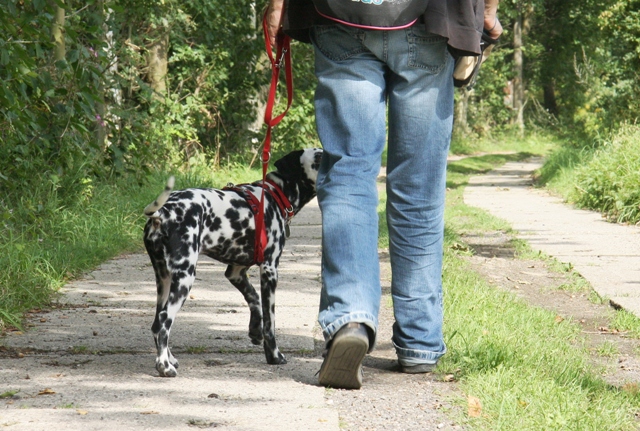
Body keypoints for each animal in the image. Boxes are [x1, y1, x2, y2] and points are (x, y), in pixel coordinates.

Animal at [146, 149, 324, 378]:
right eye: (318, 158)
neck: (275, 194)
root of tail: (164, 211)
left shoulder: (236, 272)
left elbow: (254, 299)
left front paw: (255, 330)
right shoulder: (270, 270)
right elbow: (270, 323)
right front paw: (274, 355)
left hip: (164, 280)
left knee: (157, 323)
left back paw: (170, 359)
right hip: (184, 279)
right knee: (163, 322)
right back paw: (164, 366)